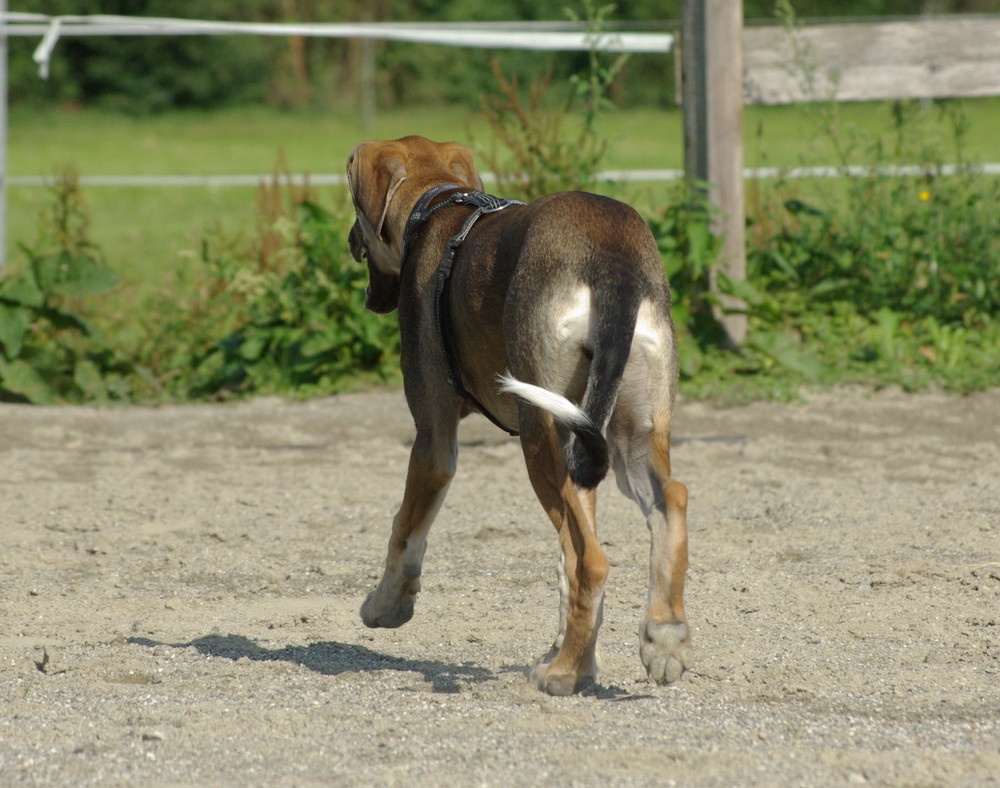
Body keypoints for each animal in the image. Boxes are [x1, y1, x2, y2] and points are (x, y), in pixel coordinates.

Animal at [348, 135, 692, 696]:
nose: (353, 239)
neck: (438, 205)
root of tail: (610, 250)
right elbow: (564, 569)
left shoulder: (433, 440)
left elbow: (406, 530)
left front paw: (387, 606)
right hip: (626, 435)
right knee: (667, 507)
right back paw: (660, 639)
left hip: (541, 434)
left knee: (591, 560)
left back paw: (565, 674)